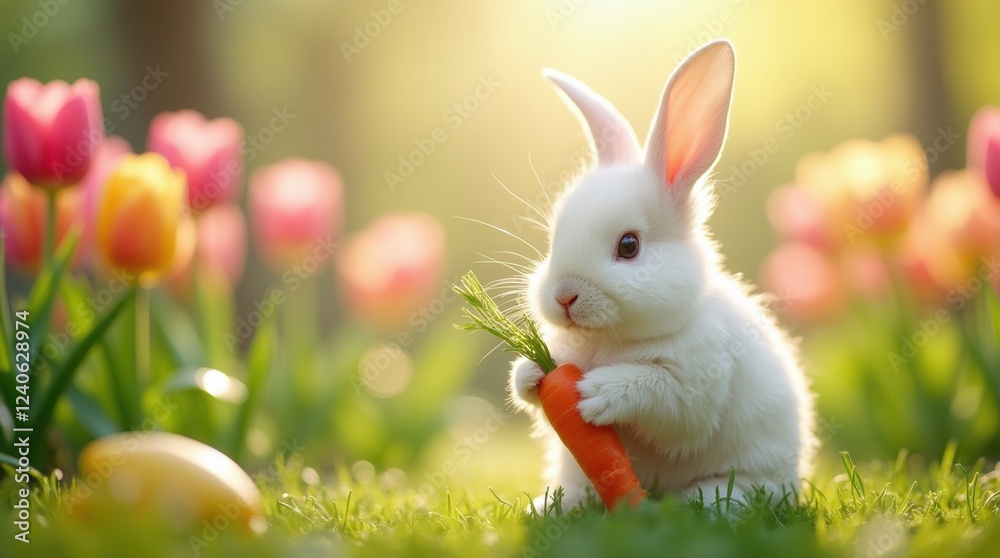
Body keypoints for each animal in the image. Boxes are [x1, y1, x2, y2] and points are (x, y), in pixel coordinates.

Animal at [509, 39, 817, 511]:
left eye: (629, 246)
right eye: (553, 238)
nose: (564, 296)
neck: (613, 341)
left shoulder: (696, 385)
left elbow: (664, 402)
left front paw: (596, 393)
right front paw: (529, 374)